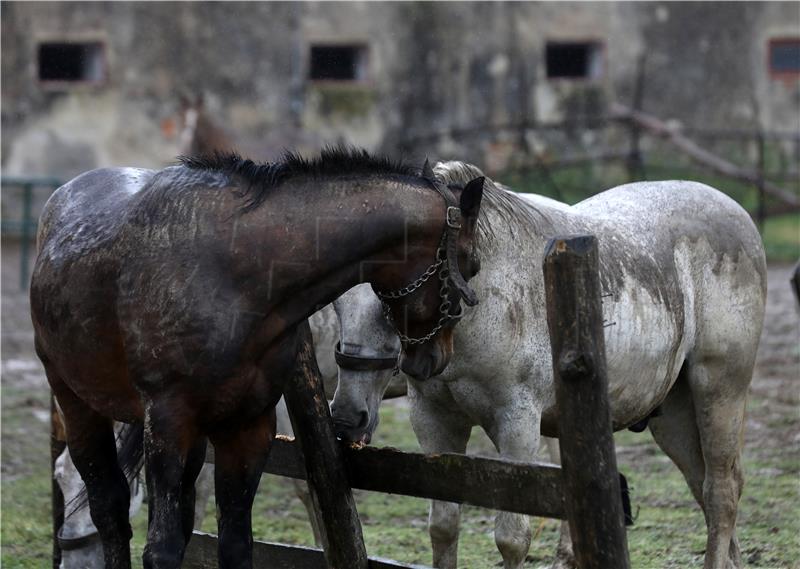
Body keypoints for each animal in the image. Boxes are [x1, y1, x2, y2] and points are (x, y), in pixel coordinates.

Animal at [328, 161, 764, 568]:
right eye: (335, 306)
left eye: (389, 303)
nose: (348, 417)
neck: (488, 303)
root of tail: (738, 213)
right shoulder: (434, 420)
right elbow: (444, 526)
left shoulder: (517, 422)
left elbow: (511, 537)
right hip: (672, 414)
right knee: (702, 484)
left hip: (719, 391)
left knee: (721, 491)